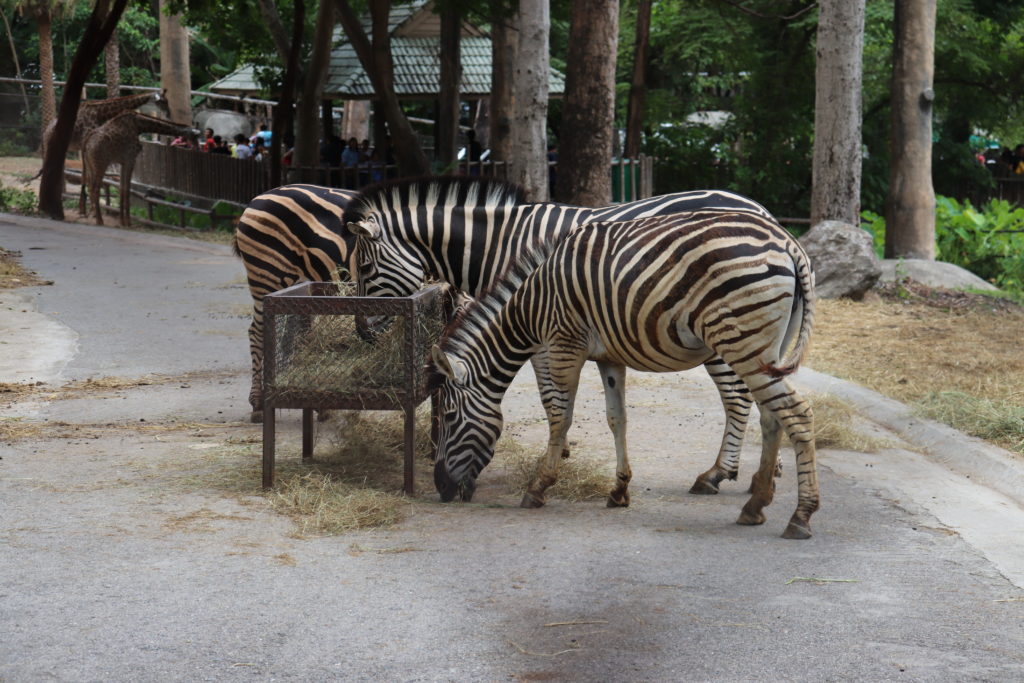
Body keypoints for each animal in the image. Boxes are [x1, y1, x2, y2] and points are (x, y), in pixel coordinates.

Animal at [348, 176, 778, 493]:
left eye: (365, 269)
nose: (362, 334)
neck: (496, 245)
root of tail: (760, 209)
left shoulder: (537, 327)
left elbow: (549, 396)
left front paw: (555, 456)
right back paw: (767, 473)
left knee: (738, 397)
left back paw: (718, 474)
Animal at [428, 209, 819, 540]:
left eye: (448, 416)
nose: (442, 488)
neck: (529, 308)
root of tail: (787, 243)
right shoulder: (608, 358)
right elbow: (617, 418)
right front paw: (619, 490)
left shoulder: (563, 344)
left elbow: (559, 415)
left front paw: (539, 486)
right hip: (769, 349)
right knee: (772, 417)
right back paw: (756, 504)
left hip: (742, 342)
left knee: (796, 413)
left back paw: (800, 516)